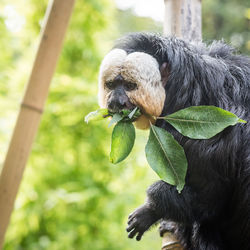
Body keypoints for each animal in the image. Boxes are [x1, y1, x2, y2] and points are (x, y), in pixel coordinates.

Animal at [97, 33, 250, 250]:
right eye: (111, 85)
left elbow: (211, 196)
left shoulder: (205, 131)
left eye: (129, 86)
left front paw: (151, 211)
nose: (115, 102)